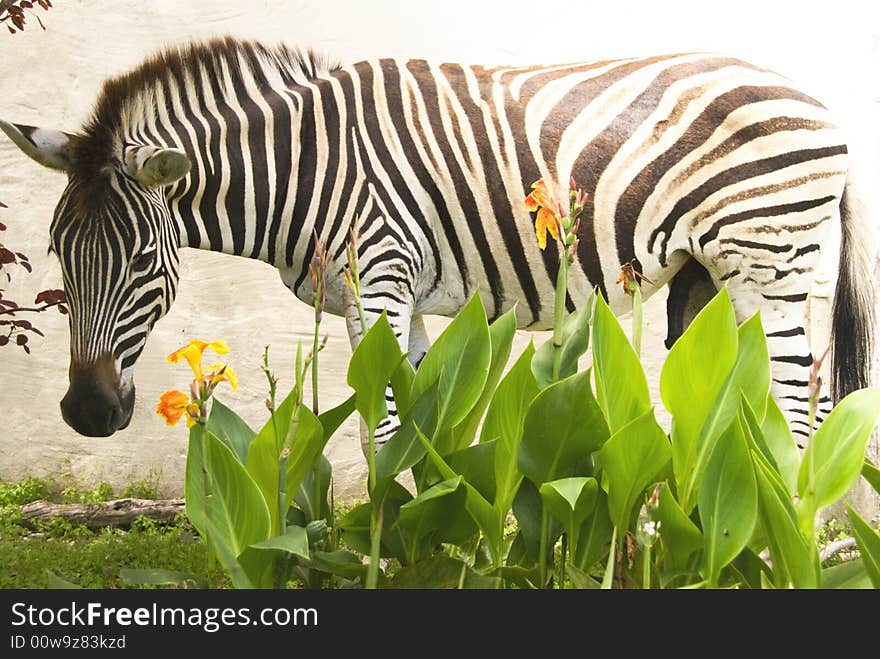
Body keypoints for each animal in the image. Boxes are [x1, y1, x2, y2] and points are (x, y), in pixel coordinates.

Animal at [1, 37, 872, 454]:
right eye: (55, 254)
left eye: (145, 264)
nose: (87, 413)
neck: (307, 165)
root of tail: (823, 104)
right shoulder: (406, 299)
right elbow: (415, 420)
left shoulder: (380, 279)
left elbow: (377, 428)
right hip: (714, 278)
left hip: (770, 262)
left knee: (803, 403)